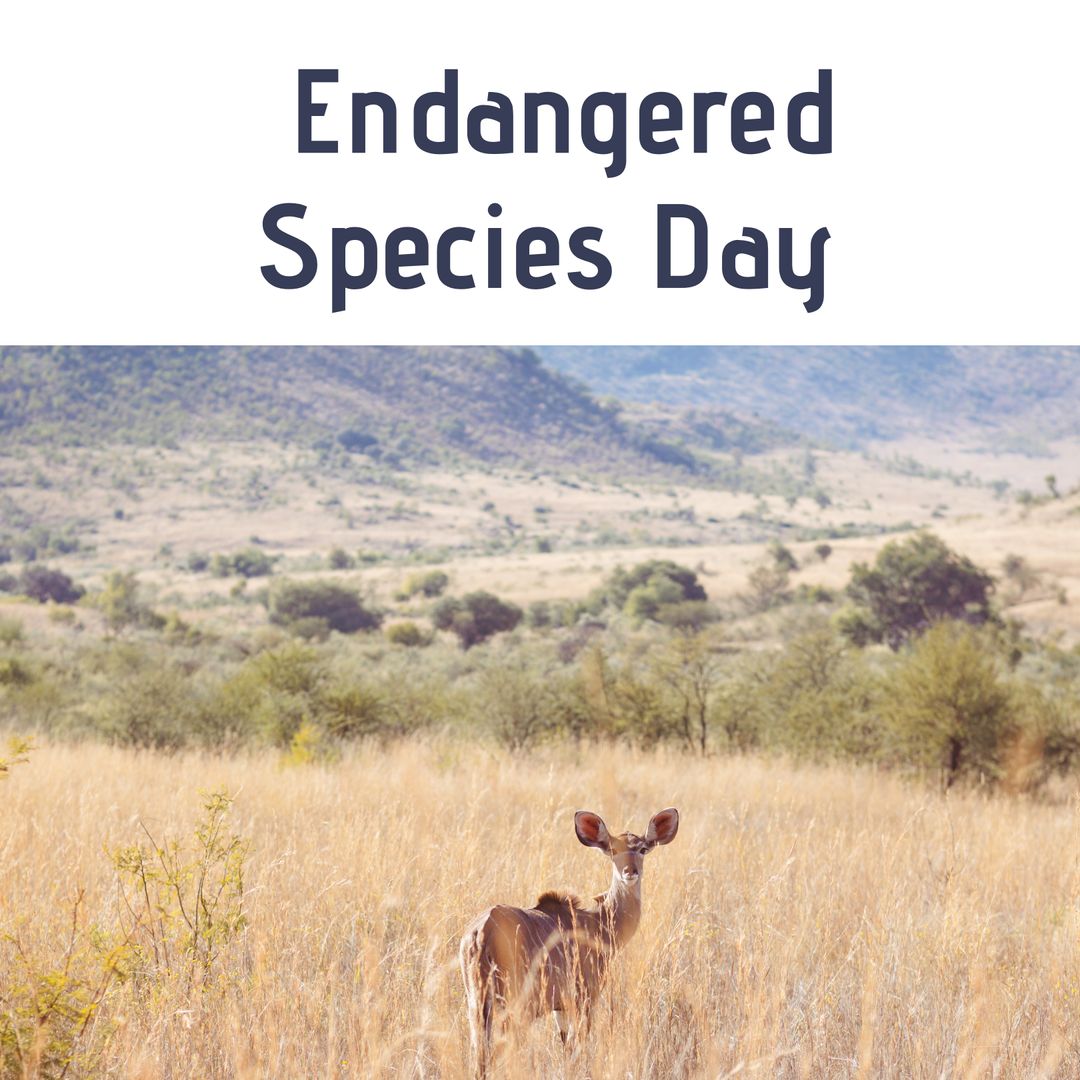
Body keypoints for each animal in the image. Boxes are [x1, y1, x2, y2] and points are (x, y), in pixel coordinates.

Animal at [458, 807, 679, 1076]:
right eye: (612, 850)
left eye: (643, 849)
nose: (630, 872)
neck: (599, 924)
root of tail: (481, 933)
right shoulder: (584, 997)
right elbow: (577, 1049)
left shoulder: (560, 1006)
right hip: (513, 1006)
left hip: (477, 1005)